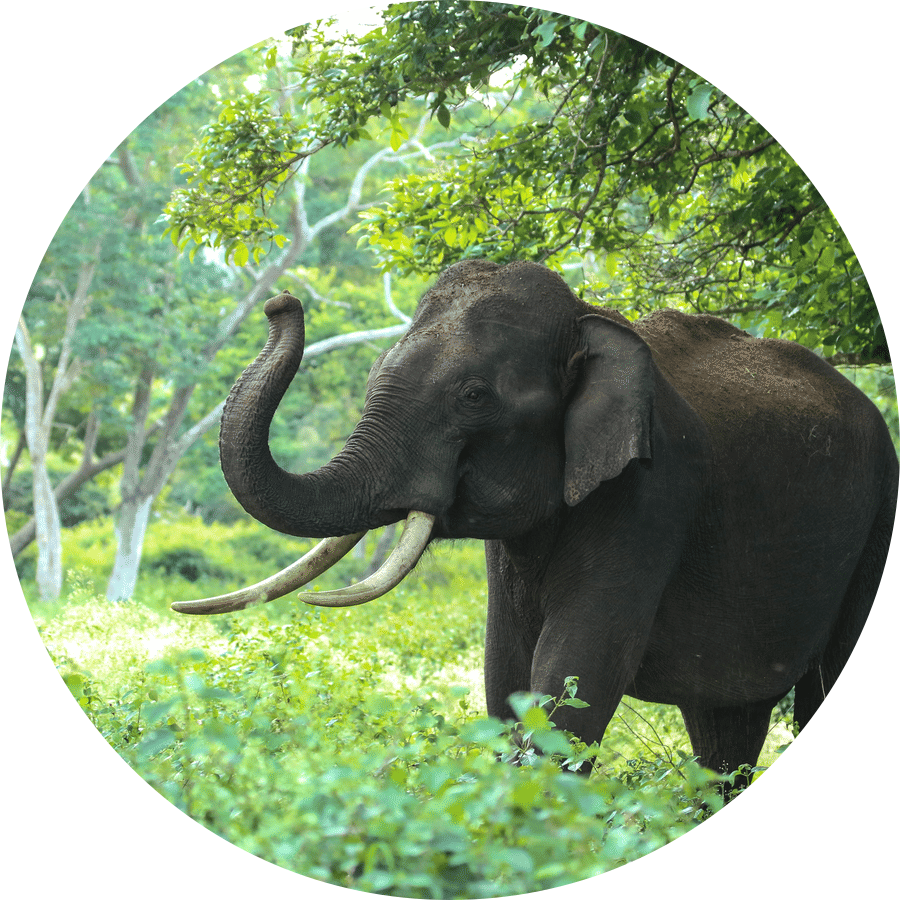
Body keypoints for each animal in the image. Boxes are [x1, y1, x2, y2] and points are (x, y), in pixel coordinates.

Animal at [173, 259, 897, 788]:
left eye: (472, 397)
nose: (280, 303)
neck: (588, 322)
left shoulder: (651, 496)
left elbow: (576, 672)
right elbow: (507, 673)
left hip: (877, 525)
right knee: (724, 724)